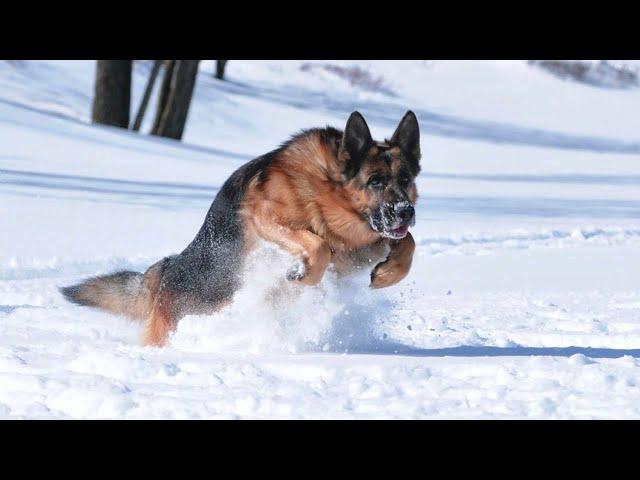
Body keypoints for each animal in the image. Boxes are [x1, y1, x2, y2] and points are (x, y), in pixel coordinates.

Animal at [60, 111, 420, 344]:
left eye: (405, 179)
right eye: (375, 181)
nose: (406, 211)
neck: (328, 186)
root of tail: (165, 271)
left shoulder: (362, 248)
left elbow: (409, 243)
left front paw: (388, 274)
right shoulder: (265, 216)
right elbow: (318, 245)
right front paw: (301, 273)